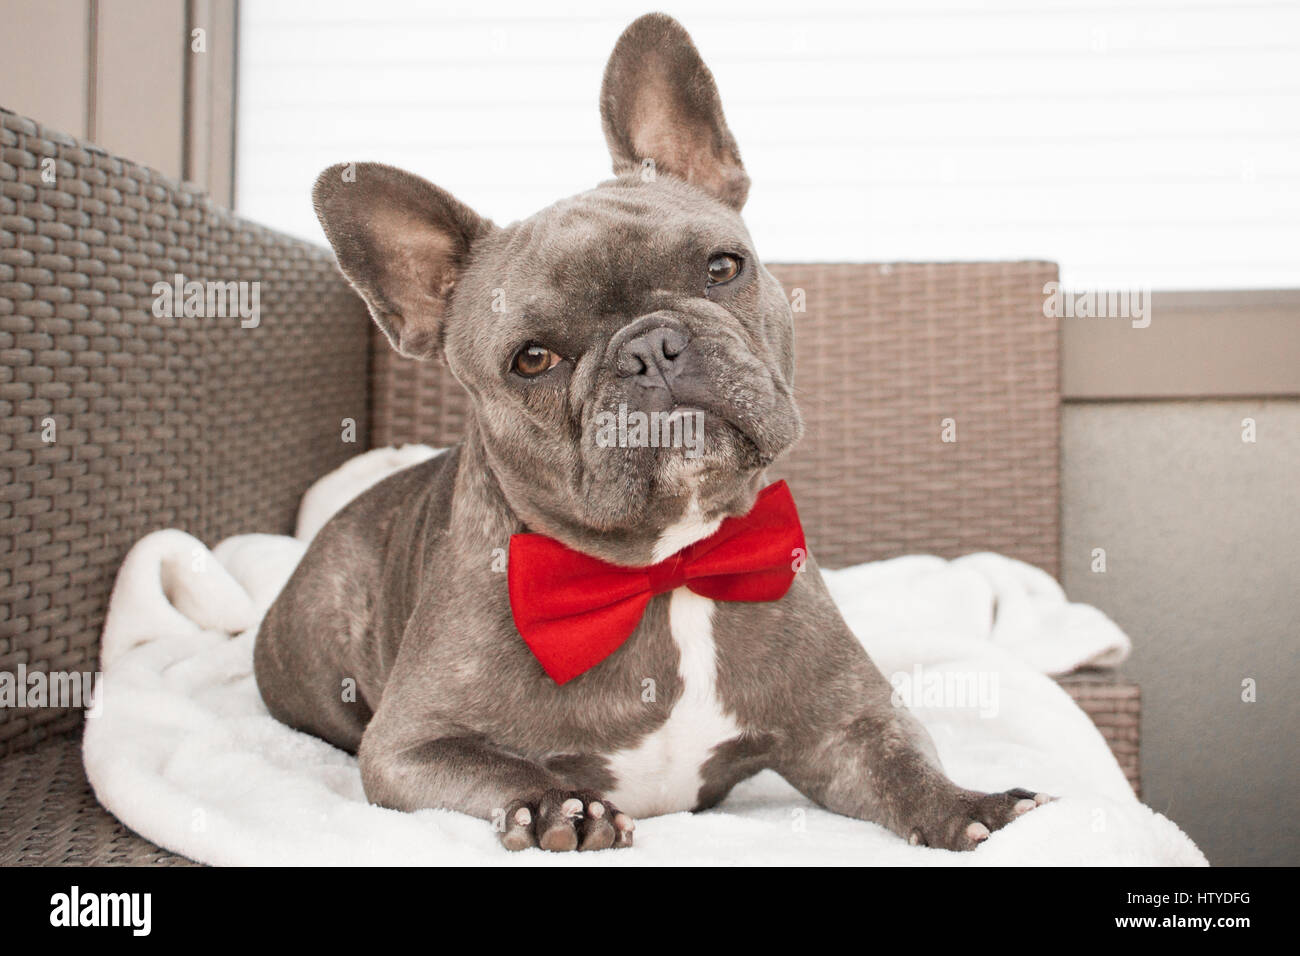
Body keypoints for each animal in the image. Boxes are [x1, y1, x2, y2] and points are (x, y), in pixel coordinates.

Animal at [253, 13, 1045, 853]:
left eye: (723, 268)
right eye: (532, 359)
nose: (649, 348)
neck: (666, 569)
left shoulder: (849, 722)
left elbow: (904, 766)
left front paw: (973, 808)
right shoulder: (410, 747)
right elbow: (501, 769)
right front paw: (558, 808)